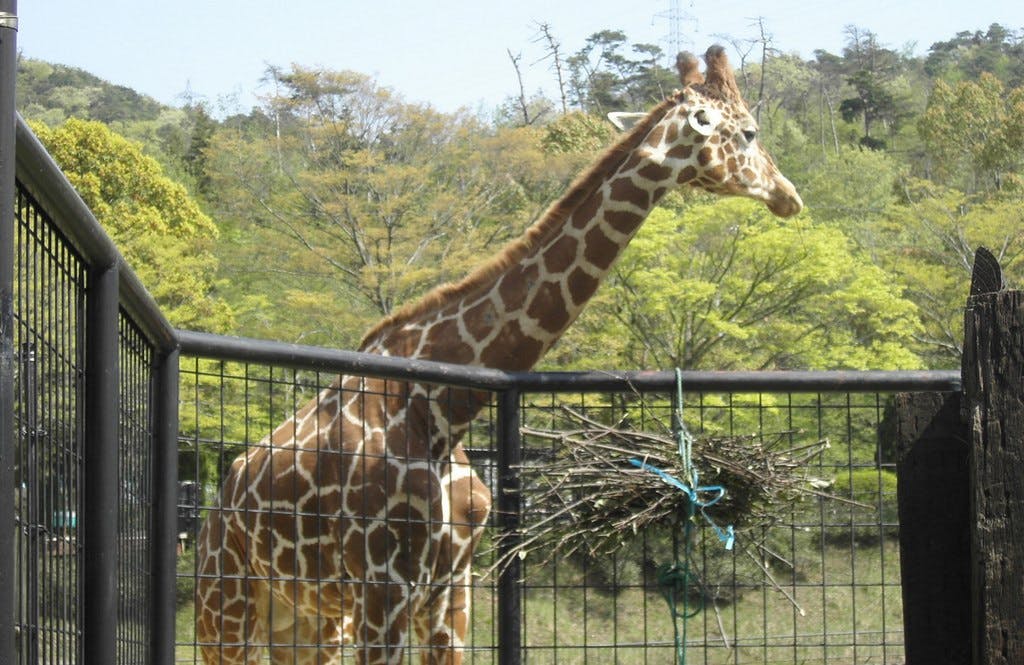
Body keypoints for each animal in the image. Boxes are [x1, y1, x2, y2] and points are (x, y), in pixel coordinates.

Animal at [194, 45, 802, 665]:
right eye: (749, 133)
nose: (789, 195)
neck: (442, 410)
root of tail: (218, 498)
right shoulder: (384, 586)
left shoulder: (451, 589)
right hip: (225, 602)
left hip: (309, 621)